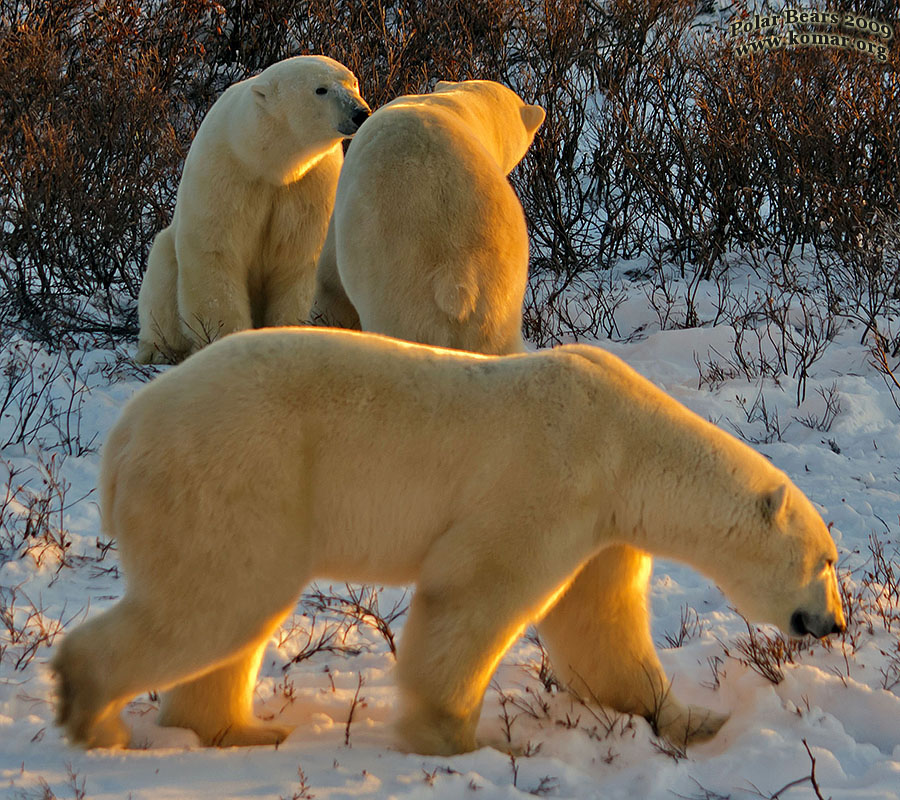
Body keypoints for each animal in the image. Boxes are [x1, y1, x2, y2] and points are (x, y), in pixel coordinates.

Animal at [54, 328, 844, 752]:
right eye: (827, 560)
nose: (835, 623)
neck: (629, 442)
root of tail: (122, 438)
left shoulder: (603, 523)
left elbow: (600, 625)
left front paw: (693, 718)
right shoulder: (554, 475)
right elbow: (474, 591)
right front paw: (469, 740)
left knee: (226, 617)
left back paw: (244, 731)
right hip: (238, 473)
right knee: (216, 600)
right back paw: (95, 716)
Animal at [137, 57, 370, 366]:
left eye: (353, 82)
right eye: (321, 89)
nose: (360, 112)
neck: (267, 163)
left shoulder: (311, 185)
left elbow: (299, 260)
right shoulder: (225, 173)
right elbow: (216, 255)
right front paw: (227, 343)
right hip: (164, 258)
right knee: (161, 278)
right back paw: (156, 351)